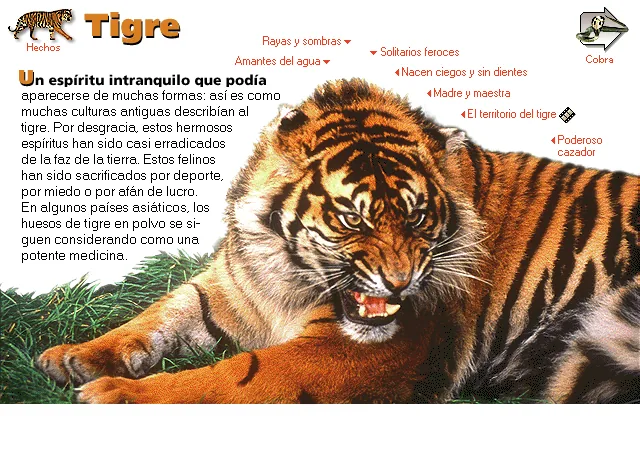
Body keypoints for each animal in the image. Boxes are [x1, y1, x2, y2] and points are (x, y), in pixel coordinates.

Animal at [37, 79, 640, 403]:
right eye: (353, 220)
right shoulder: (230, 288)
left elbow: (231, 376)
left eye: (419, 218)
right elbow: (162, 313)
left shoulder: (357, 353)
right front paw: (75, 357)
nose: (400, 284)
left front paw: (116, 394)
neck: (283, 276)